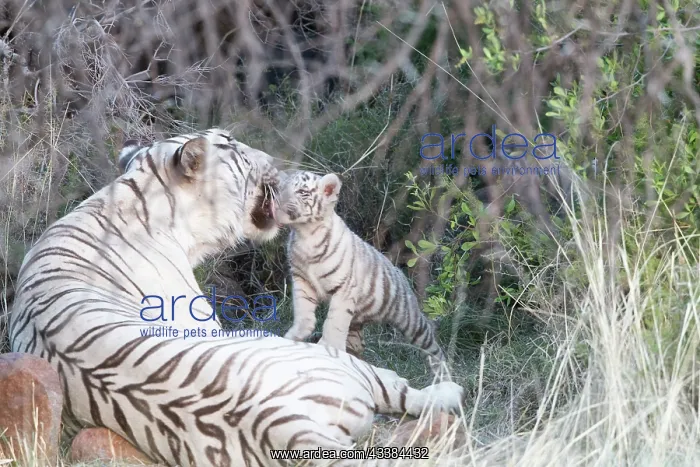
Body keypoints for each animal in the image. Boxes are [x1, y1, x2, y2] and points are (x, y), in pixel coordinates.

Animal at [275, 170, 450, 379]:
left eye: (302, 192)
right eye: (280, 188)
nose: (277, 203)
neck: (305, 234)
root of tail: (400, 272)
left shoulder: (343, 288)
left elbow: (333, 323)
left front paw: (328, 346)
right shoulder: (302, 280)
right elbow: (303, 311)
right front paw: (295, 335)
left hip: (409, 319)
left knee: (430, 342)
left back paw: (444, 375)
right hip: (357, 322)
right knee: (358, 343)